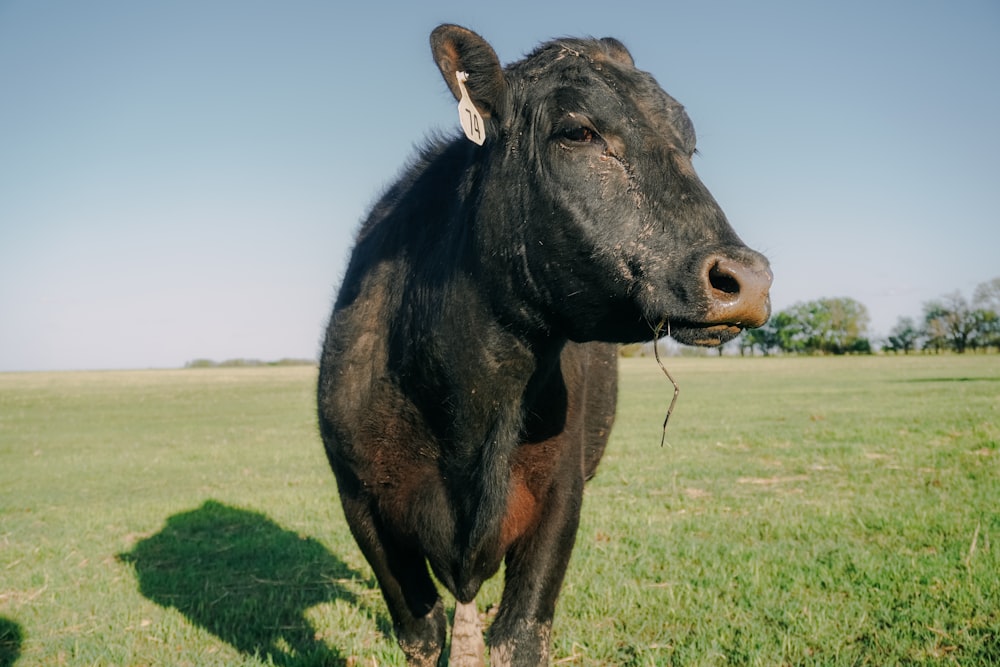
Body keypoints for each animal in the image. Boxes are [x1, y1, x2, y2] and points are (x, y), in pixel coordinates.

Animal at [316, 23, 768, 664]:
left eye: (689, 143)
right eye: (578, 131)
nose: (749, 279)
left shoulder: (559, 500)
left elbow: (521, 635)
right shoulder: (362, 507)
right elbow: (422, 635)